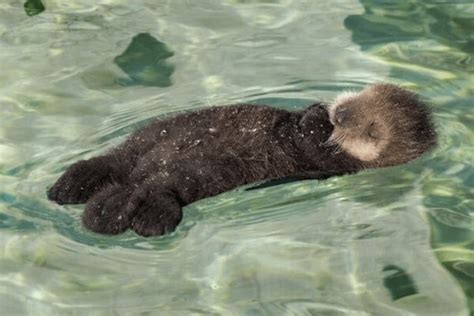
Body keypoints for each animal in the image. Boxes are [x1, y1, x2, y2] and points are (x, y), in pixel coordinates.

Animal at [47, 82, 436, 236]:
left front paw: (316, 122)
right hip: (147, 139)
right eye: (359, 97)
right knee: (115, 162)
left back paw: (135, 218)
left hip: (186, 178)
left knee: (154, 191)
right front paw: (313, 110)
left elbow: (314, 145)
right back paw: (70, 185)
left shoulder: (330, 164)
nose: (339, 113)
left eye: (370, 129)